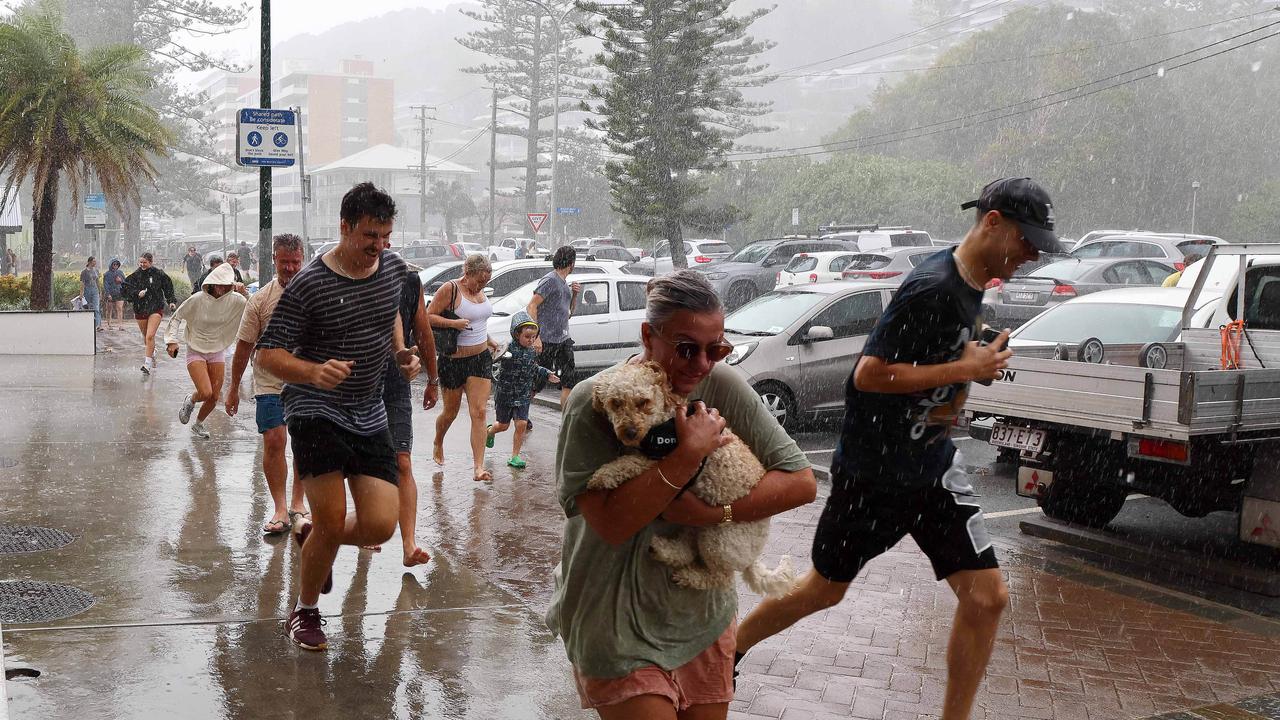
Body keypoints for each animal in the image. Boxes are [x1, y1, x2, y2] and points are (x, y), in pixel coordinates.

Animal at [586, 358, 793, 594]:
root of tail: (753, 558)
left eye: (643, 402)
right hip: (698, 525)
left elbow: (630, 462)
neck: (664, 422)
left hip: (717, 539)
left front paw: (603, 475)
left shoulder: (665, 461)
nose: (629, 433)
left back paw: (689, 576)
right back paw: (663, 549)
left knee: (720, 576)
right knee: (687, 549)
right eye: (615, 403)